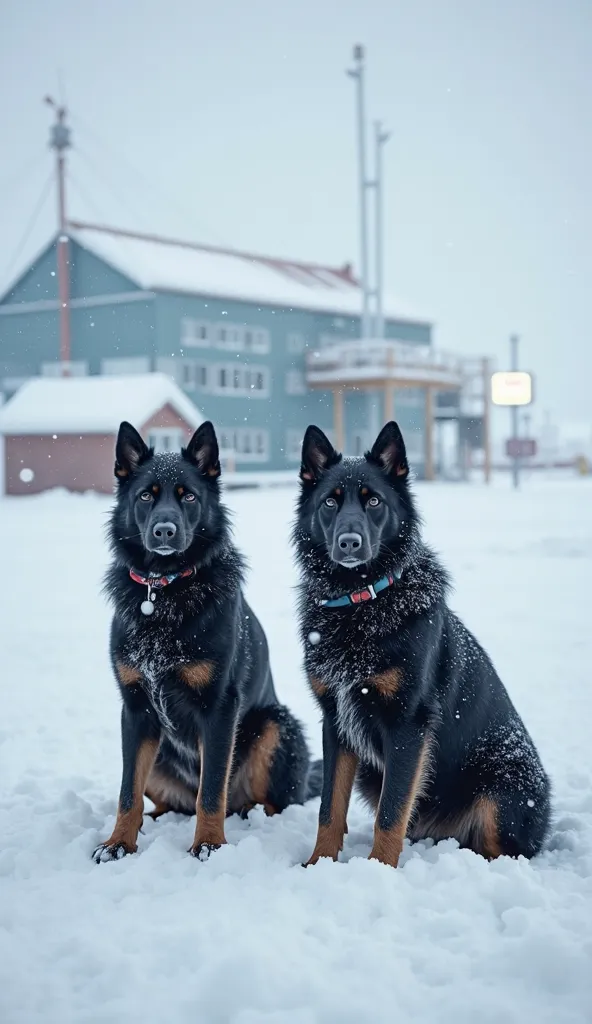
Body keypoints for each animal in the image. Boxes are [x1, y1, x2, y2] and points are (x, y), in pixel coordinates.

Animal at [92, 419, 319, 860]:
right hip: (159, 751)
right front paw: (118, 843)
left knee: (265, 802)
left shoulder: (219, 709)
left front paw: (210, 844)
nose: (164, 531)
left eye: (189, 496)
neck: (164, 590)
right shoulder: (136, 710)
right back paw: (153, 822)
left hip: (273, 727)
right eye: (146, 495)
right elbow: (127, 794)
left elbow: (211, 791)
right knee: (168, 802)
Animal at [292, 419, 548, 868]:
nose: (349, 543)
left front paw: (378, 869)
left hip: (501, 792)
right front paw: (319, 864)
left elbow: (391, 813)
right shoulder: (336, 722)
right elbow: (329, 808)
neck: (362, 601)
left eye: (374, 501)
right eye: (330, 502)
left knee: (504, 849)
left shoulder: (408, 725)